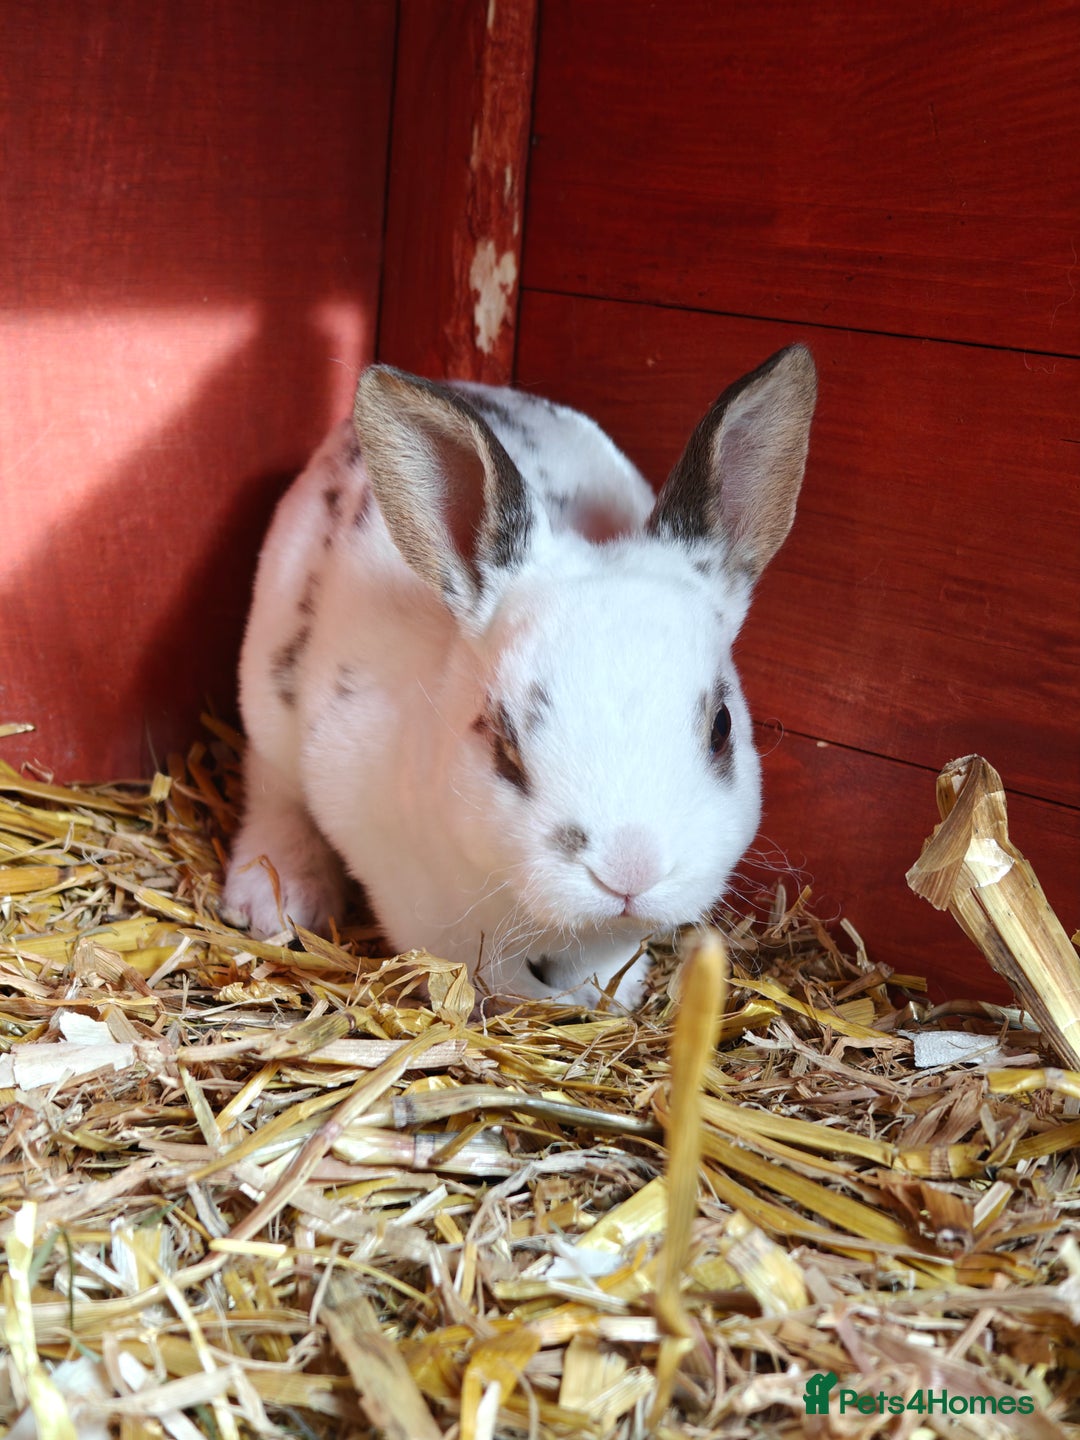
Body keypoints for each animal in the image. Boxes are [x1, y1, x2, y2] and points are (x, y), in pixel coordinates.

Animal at [223, 345, 817, 1006]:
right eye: (501, 739)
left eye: (721, 728)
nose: (629, 871)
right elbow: (491, 976)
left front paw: (602, 996)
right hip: (267, 697)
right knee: (272, 786)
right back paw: (274, 900)